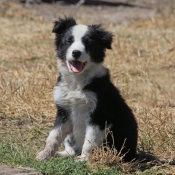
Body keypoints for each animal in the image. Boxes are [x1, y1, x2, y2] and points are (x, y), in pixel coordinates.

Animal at [36, 17, 138, 162]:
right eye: (69, 41)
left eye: (88, 43)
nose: (76, 52)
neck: (77, 81)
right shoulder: (63, 111)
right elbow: (54, 135)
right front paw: (45, 154)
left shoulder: (98, 115)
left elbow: (90, 140)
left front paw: (83, 159)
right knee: (71, 149)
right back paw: (60, 155)